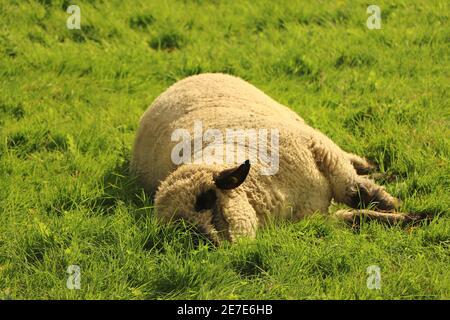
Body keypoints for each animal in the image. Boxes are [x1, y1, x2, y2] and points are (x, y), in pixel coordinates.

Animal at [130, 72, 412, 242]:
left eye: (206, 198)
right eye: (176, 228)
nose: (206, 245)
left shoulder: (323, 153)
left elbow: (357, 192)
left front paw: (396, 205)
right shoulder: (316, 219)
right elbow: (357, 217)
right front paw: (407, 219)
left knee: (353, 163)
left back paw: (381, 171)